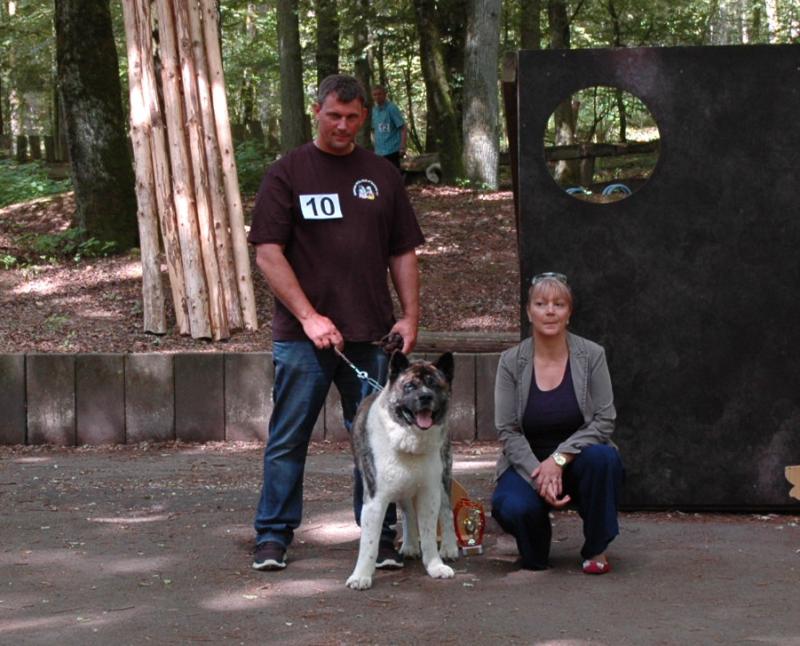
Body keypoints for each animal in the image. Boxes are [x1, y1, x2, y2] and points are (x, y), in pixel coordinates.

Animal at [346, 351, 459, 590]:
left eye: (434, 385)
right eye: (409, 386)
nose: (425, 397)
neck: (409, 437)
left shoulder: (429, 494)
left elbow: (429, 533)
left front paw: (435, 565)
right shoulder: (375, 500)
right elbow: (369, 542)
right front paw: (361, 576)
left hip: (443, 478)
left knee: (445, 511)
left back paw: (449, 547)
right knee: (407, 512)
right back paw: (410, 546)